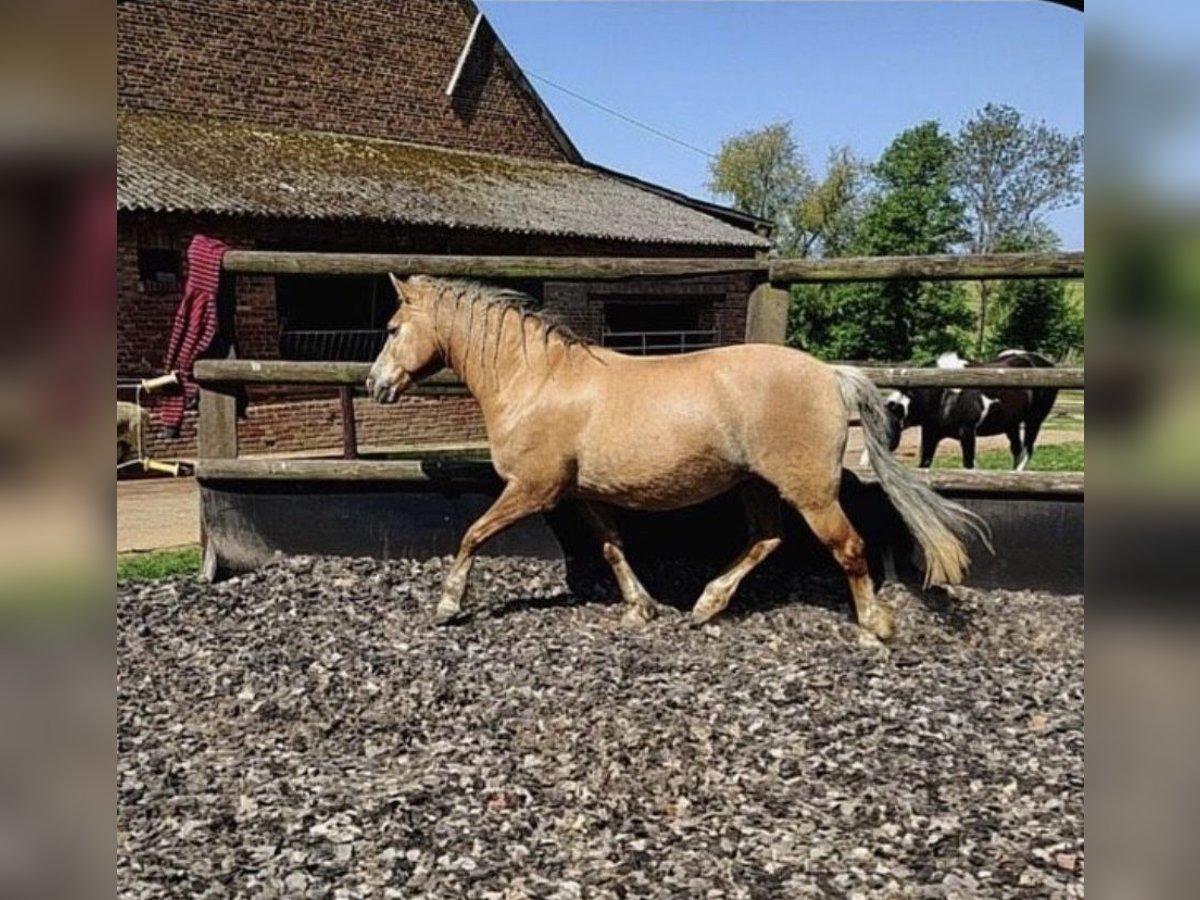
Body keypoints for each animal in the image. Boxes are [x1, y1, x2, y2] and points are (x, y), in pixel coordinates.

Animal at [367, 274, 984, 643]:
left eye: (393, 328)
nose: (376, 385)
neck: (535, 381)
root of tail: (830, 374)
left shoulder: (532, 489)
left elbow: (472, 534)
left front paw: (447, 605)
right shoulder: (588, 495)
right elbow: (613, 548)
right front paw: (642, 608)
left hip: (810, 490)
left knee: (849, 548)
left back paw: (873, 625)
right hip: (756, 486)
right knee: (767, 538)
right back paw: (707, 604)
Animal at [883, 350, 1060, 472]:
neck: (944, 394)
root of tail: (1046, 363)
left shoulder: (967, 432)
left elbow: (969, 465)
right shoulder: (930, 434)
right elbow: (924, 465)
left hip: (1034, 421)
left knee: (1026, 451)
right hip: (1012, 425)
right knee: (1017, 450)